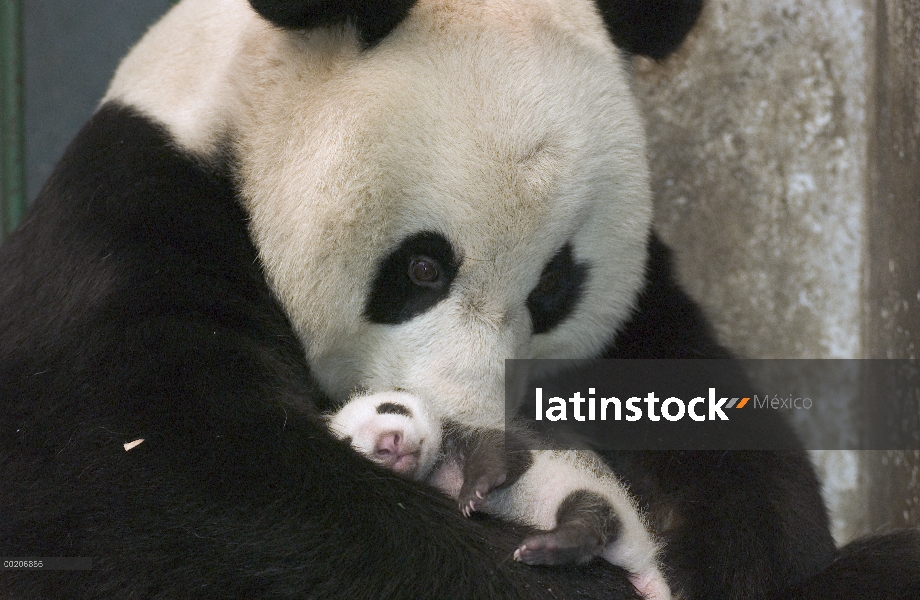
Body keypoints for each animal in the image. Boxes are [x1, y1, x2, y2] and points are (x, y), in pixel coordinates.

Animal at [1, 0, 920, 596]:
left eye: (553, 288)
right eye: (422, 269)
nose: (473, 424)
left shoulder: (643, 313)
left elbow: (726, 448)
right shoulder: (130, 235)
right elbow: (181, 488)